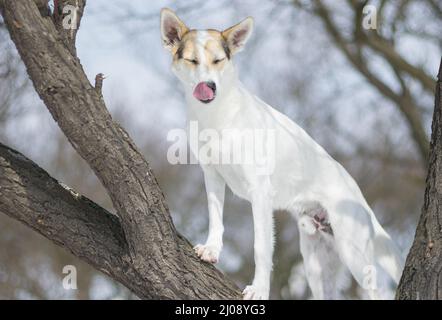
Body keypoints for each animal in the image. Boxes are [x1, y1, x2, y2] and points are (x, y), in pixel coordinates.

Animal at [161, 8, 404, 300]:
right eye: (193, 60)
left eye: (218, 60)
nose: (209, 85)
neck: (218, 115)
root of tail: (360, 198)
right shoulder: (212, 175)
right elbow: (215, 218)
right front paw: (212, 249)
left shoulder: (260, 192)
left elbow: (261, 248)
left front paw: (259, 289)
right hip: (316, 264)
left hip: (353, 253)